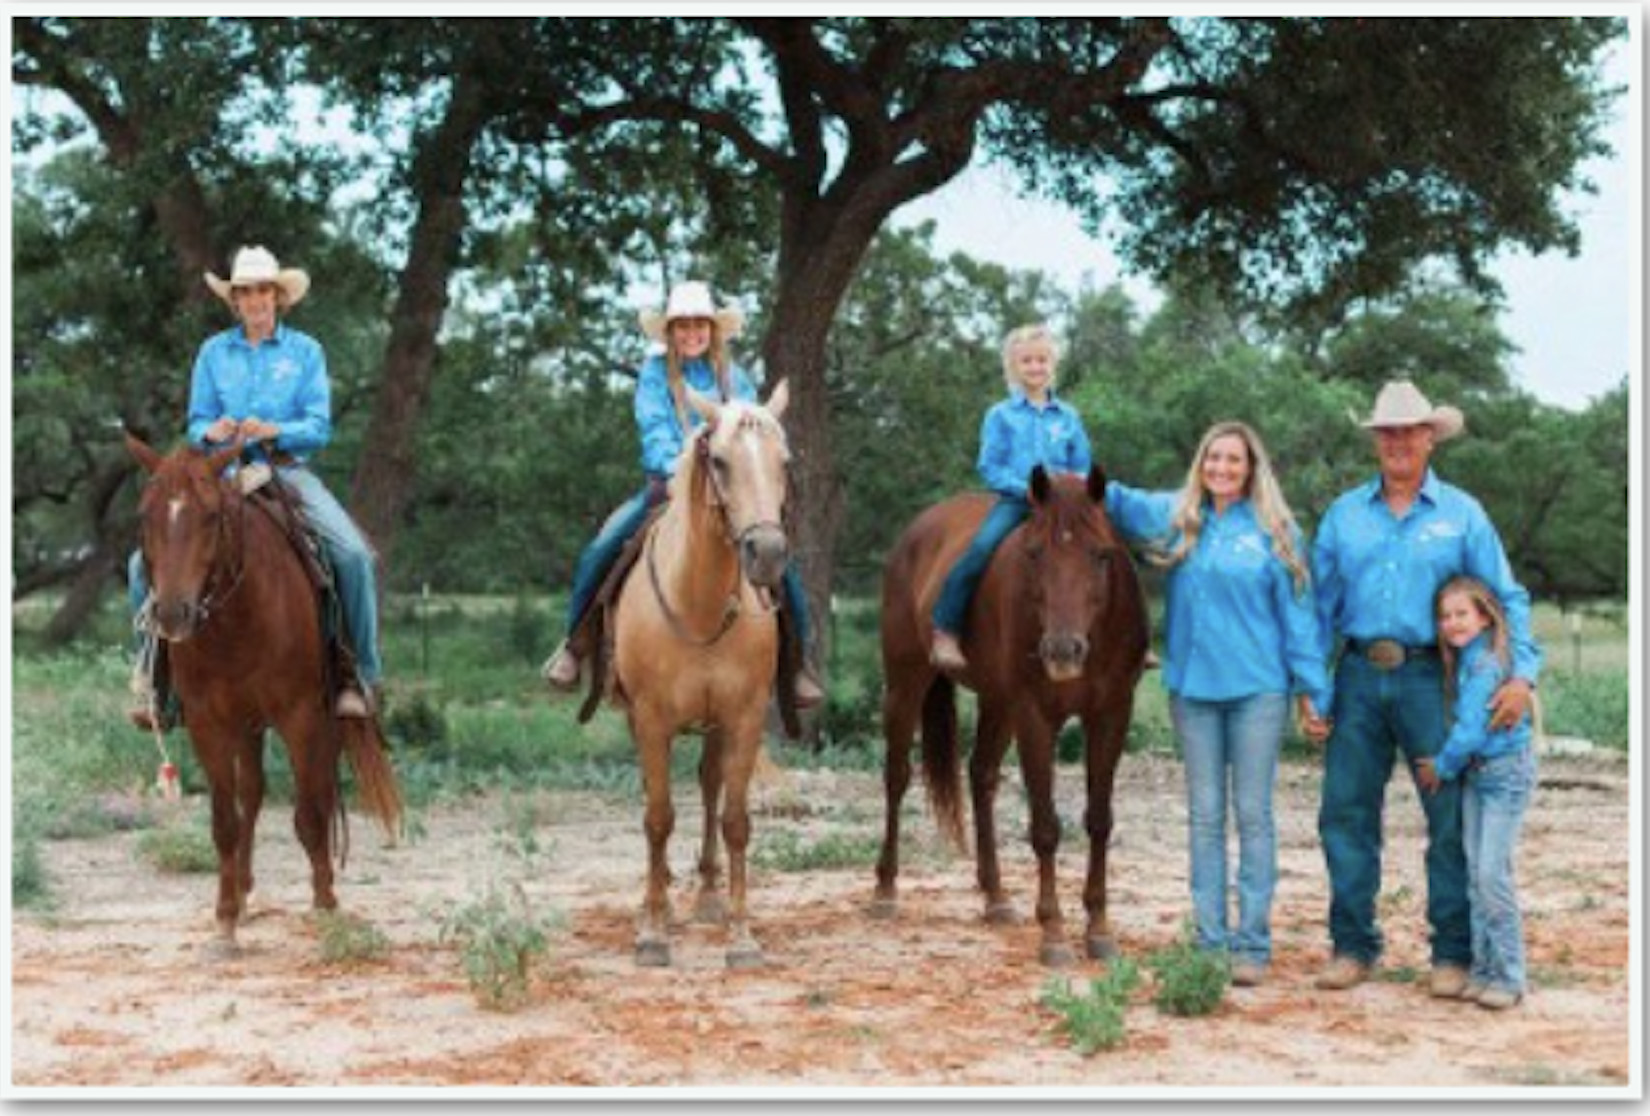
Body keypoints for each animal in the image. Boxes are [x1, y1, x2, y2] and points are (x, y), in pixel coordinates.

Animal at [125, 432, 402, 957]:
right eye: (145, 515)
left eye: (212, 515)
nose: (171, 614)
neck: (238, 619)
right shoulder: (209, 724)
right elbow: (225, 822)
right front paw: (225, 920)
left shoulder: (301, 717)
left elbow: (310, 815)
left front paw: (325, 906)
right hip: (247, 725)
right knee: (251, 794)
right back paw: (243, 892)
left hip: (323, 718)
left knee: (318, 792)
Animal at [613, 379, 798, 964]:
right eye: (718, 460)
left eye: (784, 461)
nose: (767, 553)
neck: (699, 606)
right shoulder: (651, 720)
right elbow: (658, 818)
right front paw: (652, 931)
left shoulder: (743, 718)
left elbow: (735, 820)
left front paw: (741, 935)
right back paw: (659, 904)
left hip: (717, 727)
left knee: (711, 784)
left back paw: (710, 897)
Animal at [877, 465, 1148, 964]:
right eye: (1036, 554)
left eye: (1101, 555)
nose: (1062, 650)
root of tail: (917, 530)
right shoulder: (1034, 715)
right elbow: (1045, 827)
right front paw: (1054, 933)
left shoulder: (1112, 714)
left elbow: (1099, 821)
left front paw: (1099, 929)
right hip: (905, 684)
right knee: (896, 777)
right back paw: (885, 889)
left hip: (997, 702)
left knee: (981, 775)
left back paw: (996, 897)